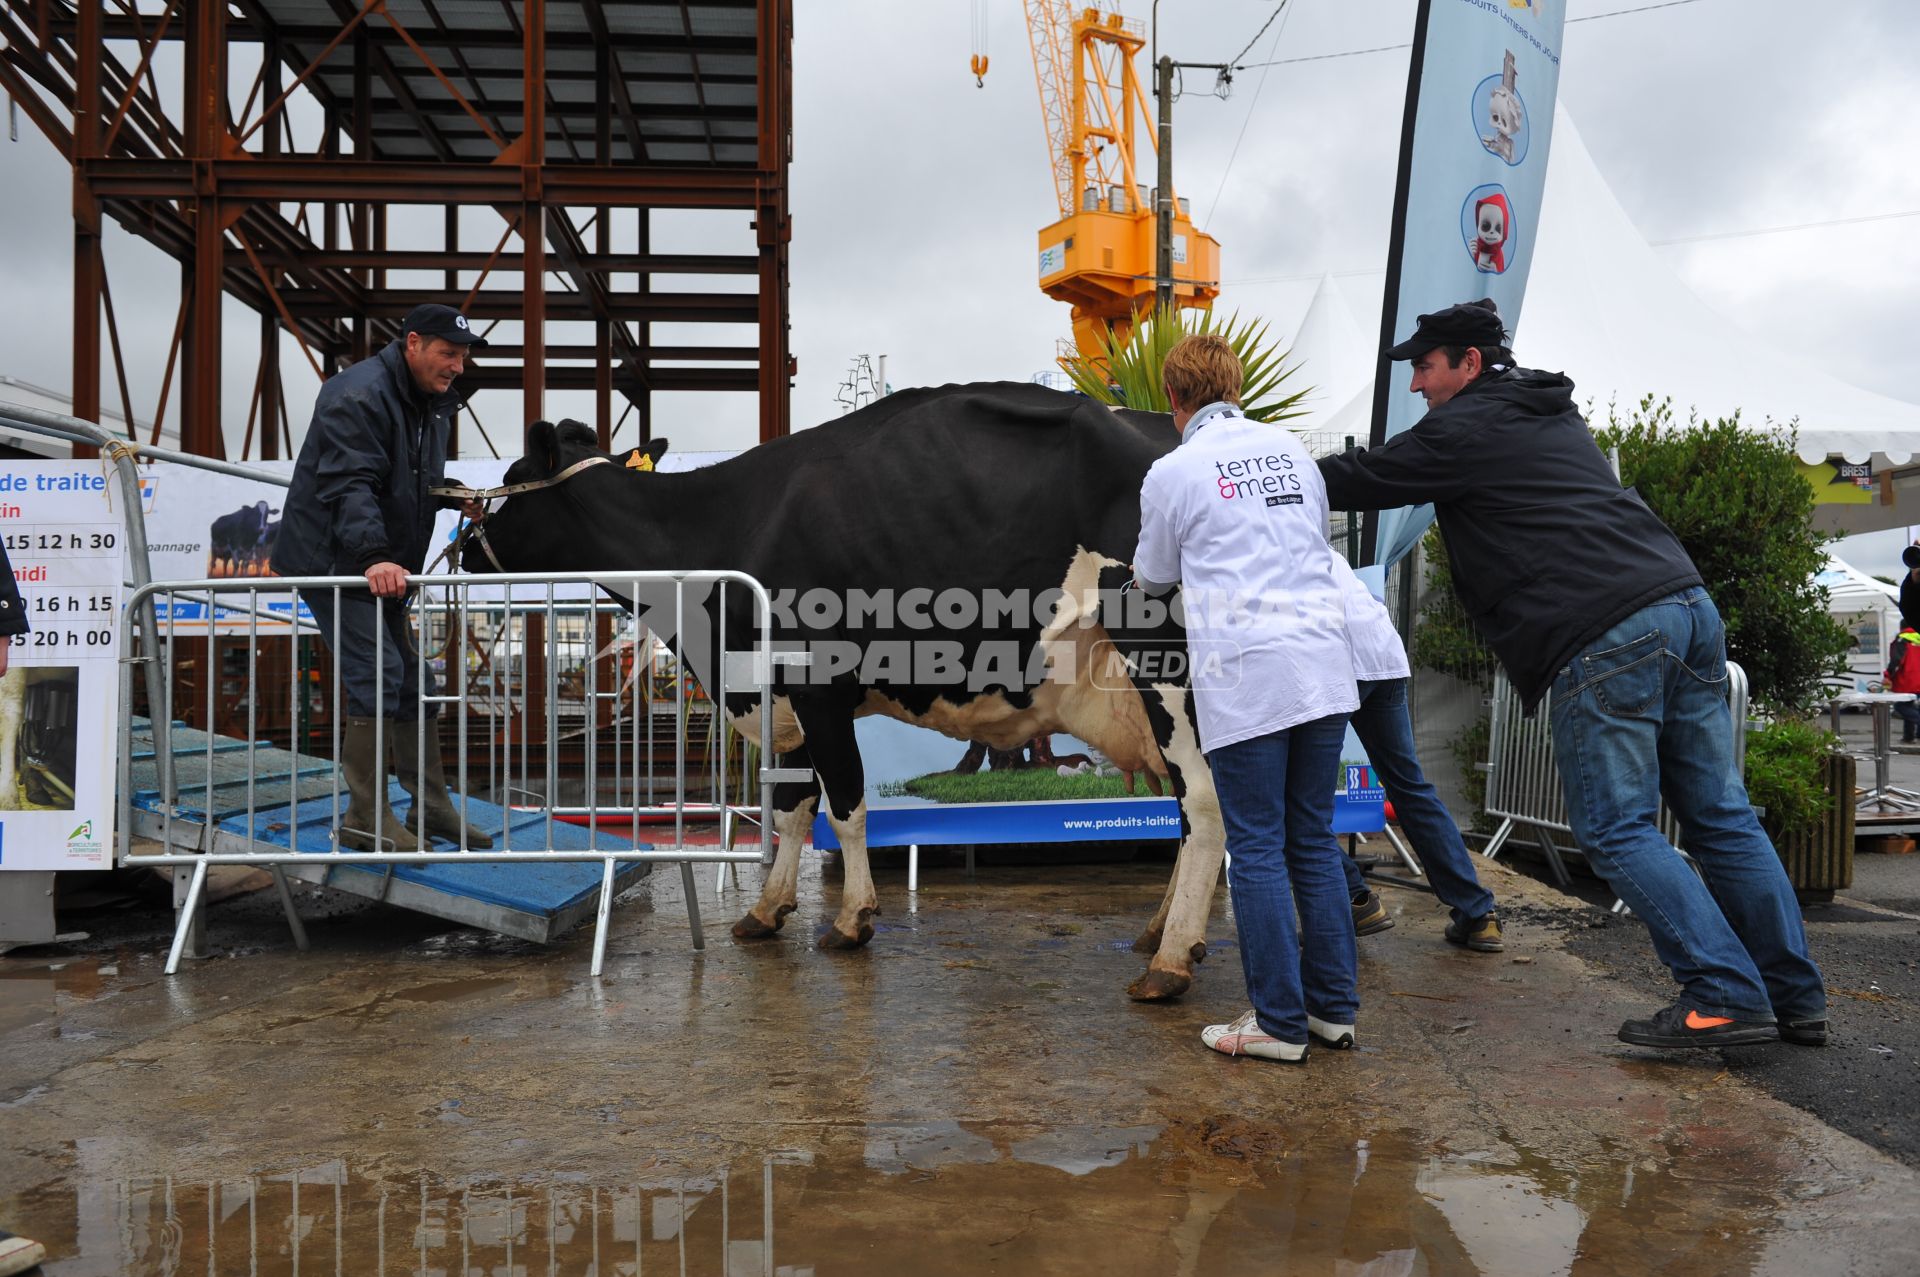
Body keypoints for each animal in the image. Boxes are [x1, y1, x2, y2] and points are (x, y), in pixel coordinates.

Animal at [476, 384, 1228, 998]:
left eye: (509, 479)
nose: (458, 541)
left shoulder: (819, 686)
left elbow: (844, 804)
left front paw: (851, 919)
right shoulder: (781, 700)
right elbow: (790, 808)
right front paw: (765, 910)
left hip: (1172, 668)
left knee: (1204, 801)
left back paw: (1169, 963)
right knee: (1179, 803)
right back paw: (1163, 932)